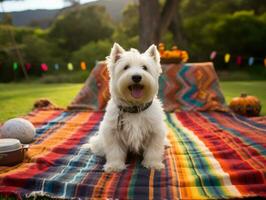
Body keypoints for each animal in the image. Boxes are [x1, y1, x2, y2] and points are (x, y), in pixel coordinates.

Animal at [88, 43, 168, 172]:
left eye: (145, 67)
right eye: (126, 67)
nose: (136, 77)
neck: (134, 108)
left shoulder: (155, 131)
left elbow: (153, 150)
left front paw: (153, 164)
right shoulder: (113, 132)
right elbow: (114, 151)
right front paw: (114, 166)